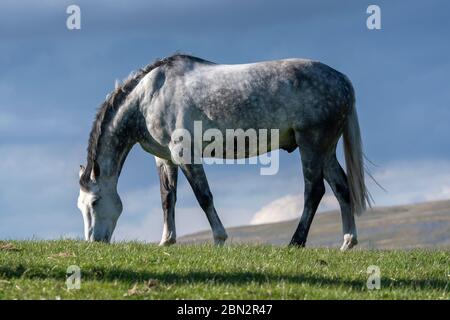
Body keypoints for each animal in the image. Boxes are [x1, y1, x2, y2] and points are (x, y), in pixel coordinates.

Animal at [78, 54, 370, 250]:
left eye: (94, 202)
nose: (93, 242)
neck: (149, 96)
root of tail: (342, 81)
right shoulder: (164, 158)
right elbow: (167, 198)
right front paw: (166, 241)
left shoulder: (185, 153)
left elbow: (204, 197)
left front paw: (219, 238)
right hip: (326, 150)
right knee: (341, 188)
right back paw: (348, 242)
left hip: (311, 144)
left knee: (314, 191)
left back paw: (296, 242)